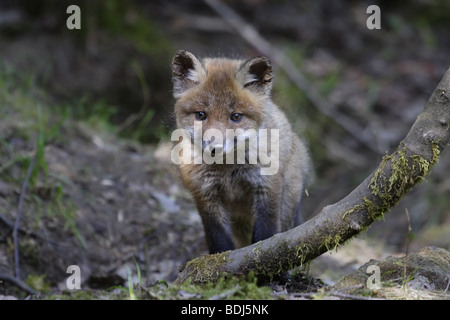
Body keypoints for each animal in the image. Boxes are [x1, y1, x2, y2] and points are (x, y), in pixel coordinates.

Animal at [171, 50, 312, 254]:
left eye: (236, 116)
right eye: (201, 115)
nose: (214, 148)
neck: (228, 171)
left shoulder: (267, 187)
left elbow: (266, 235)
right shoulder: (206, 196)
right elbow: (219, 241)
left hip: (286, 205)